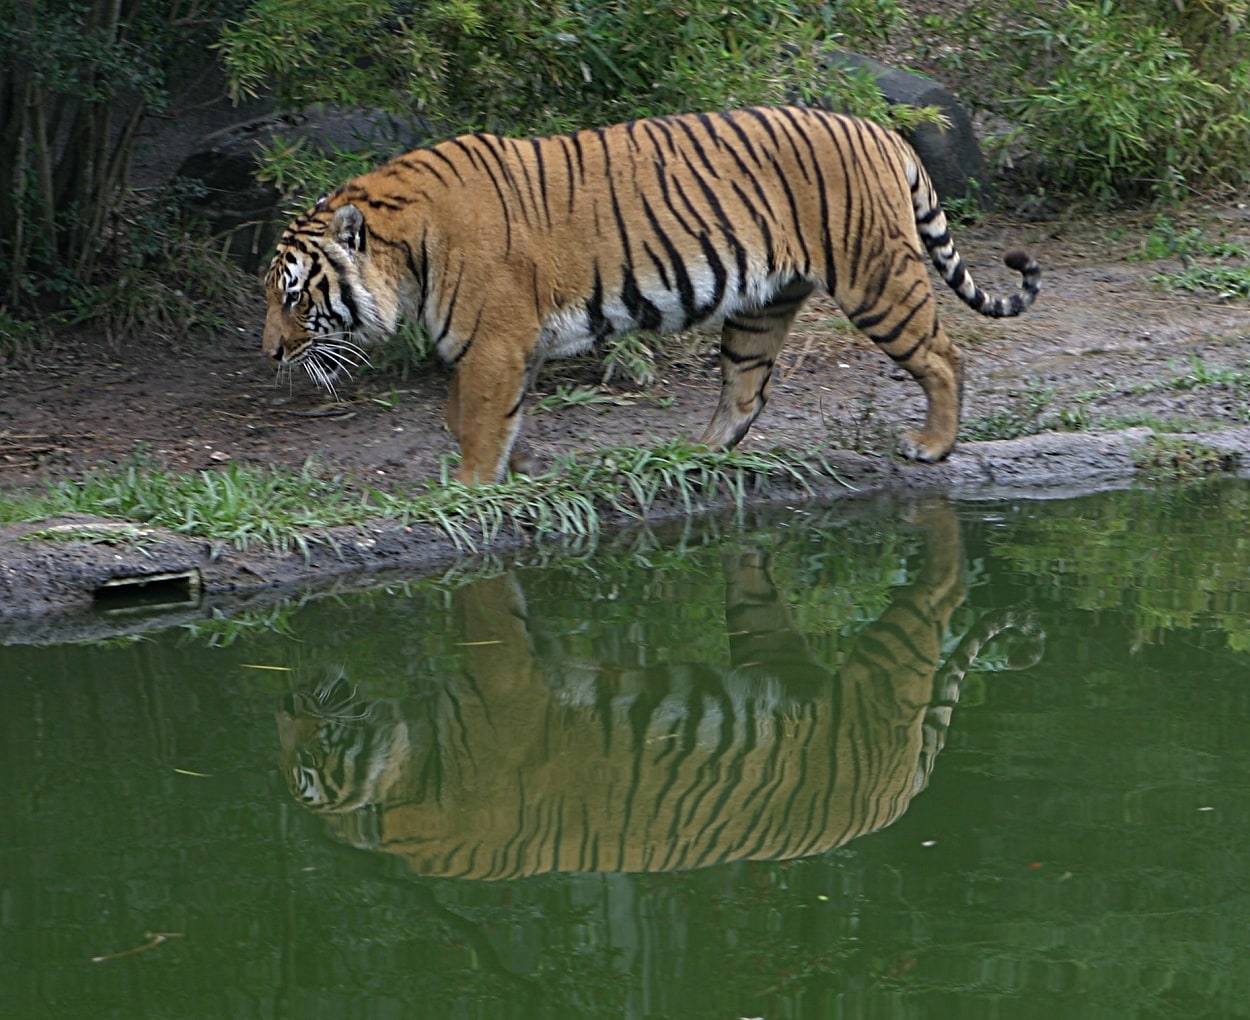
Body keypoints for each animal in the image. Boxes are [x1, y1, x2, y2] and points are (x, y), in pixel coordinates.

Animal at [258, 105, 1040, 485]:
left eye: (294, 298)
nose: (269, 353)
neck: (405, 251)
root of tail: (885, 132)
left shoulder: (495, 344)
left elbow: (477, 424)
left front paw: (474, 488)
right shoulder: (511, 347)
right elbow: (477, 417)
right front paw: (523, 471)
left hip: (876, 277)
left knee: (943, 357)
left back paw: (932, 445)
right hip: (760, 308)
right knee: (746, 391)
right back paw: (697, 457)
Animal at [276, 505, 1045, 880]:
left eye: (310, 766)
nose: (284, 705)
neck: (413, 765)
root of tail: (900, 797)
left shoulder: (506, 680)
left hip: (883, 673)